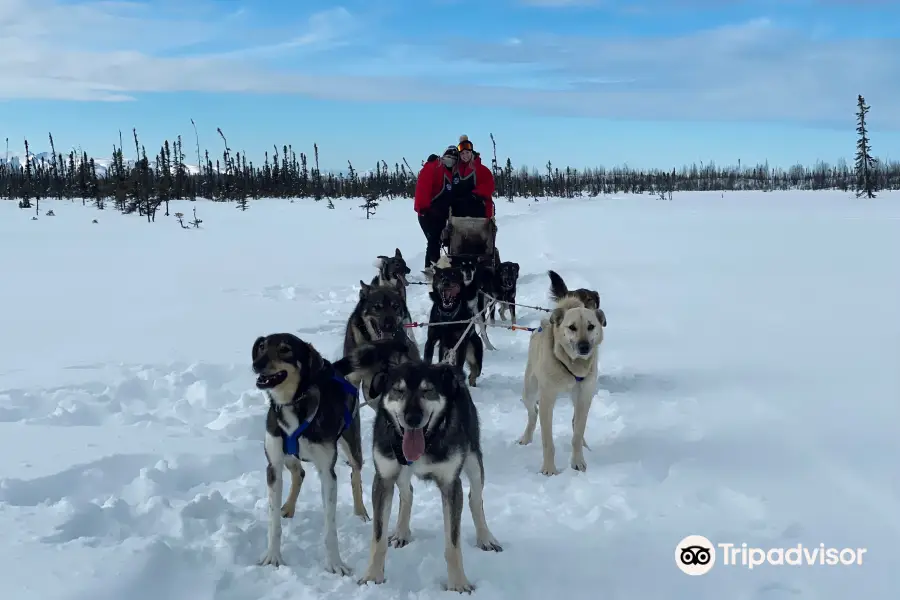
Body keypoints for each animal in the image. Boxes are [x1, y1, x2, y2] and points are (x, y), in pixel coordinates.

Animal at [356, 358, 502, 592]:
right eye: (398, 390)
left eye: (428, 391)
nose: (413, 418)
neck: (427, 442)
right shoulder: (384, 479)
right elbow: (378, 538)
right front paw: (372, 576)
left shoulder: (451, 484)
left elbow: (453, 543)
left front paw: (458, 584)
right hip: (401, 473)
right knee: (407, 493)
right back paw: (401, 532)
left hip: (473, 461)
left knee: (475, 498)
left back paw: (485, 537)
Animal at [516, 296, 608, 474]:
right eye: (572, 327)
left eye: (591, 326)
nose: (584, 347)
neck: (572, 366)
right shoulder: (547, 399)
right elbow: (547, 441)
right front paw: (549, 469)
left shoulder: (584, 397)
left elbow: (577, 434)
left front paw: (578, 462)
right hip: (529, 392)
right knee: (533, 413)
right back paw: (526, 438)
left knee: (575, 422)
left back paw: (584, 445)